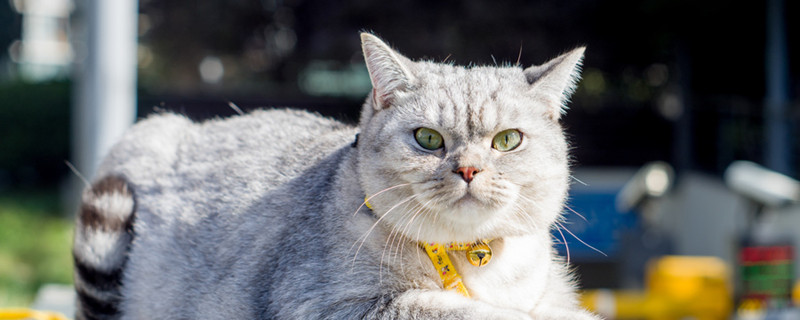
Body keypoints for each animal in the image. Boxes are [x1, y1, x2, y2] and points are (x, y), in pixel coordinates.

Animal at [73, 33, 600, 320]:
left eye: (507, 141)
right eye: (428, 139)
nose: (469, 169)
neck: (471, 259)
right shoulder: (334, 304)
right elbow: (462, 310)